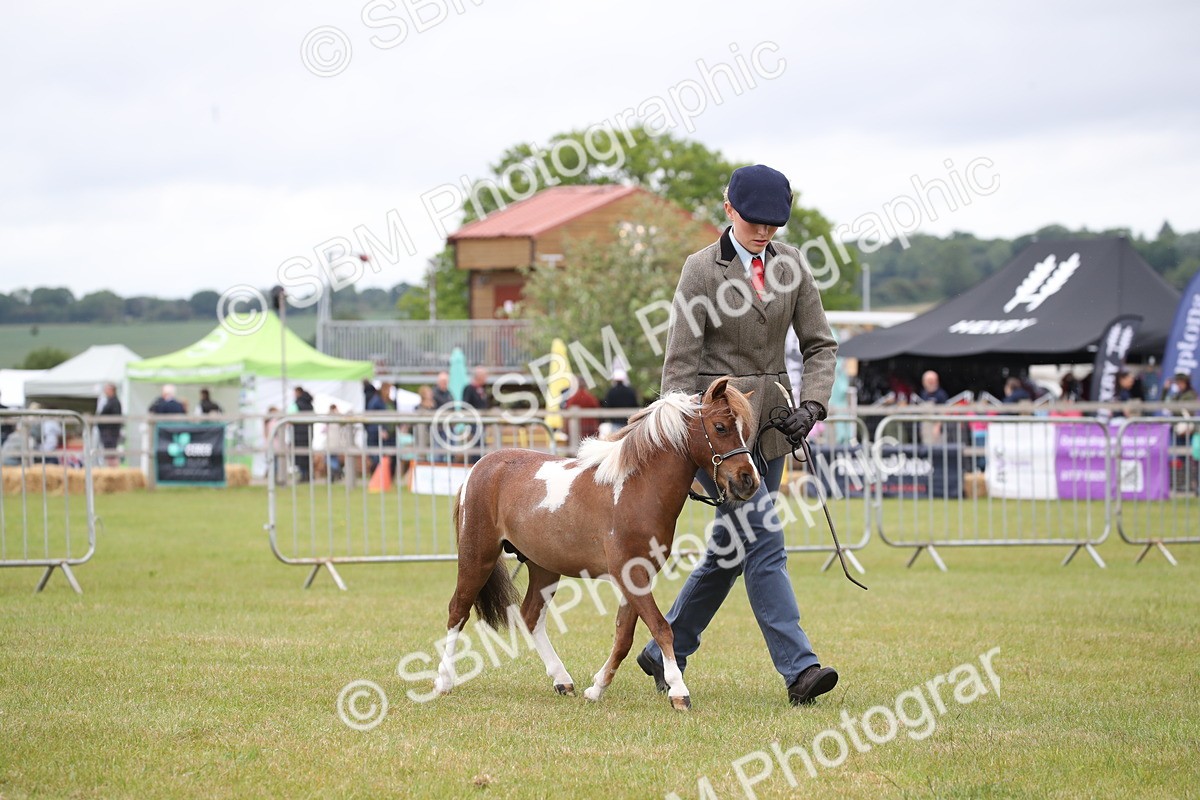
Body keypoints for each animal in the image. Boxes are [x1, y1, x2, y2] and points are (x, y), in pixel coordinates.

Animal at [434, 376, 759, 711]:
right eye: (720, 427)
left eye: (745, 430)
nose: (748, 480)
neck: (635, 489)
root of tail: (480, 466)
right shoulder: (630, 574)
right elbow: (660, 627)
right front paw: (679, 691)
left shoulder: (638, 576)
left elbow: (624, 637)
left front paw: (597, 688)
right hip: (478, 555)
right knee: (458, 610)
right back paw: (443, 681)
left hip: (544, 567)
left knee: (530, 615)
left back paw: (562, 679)